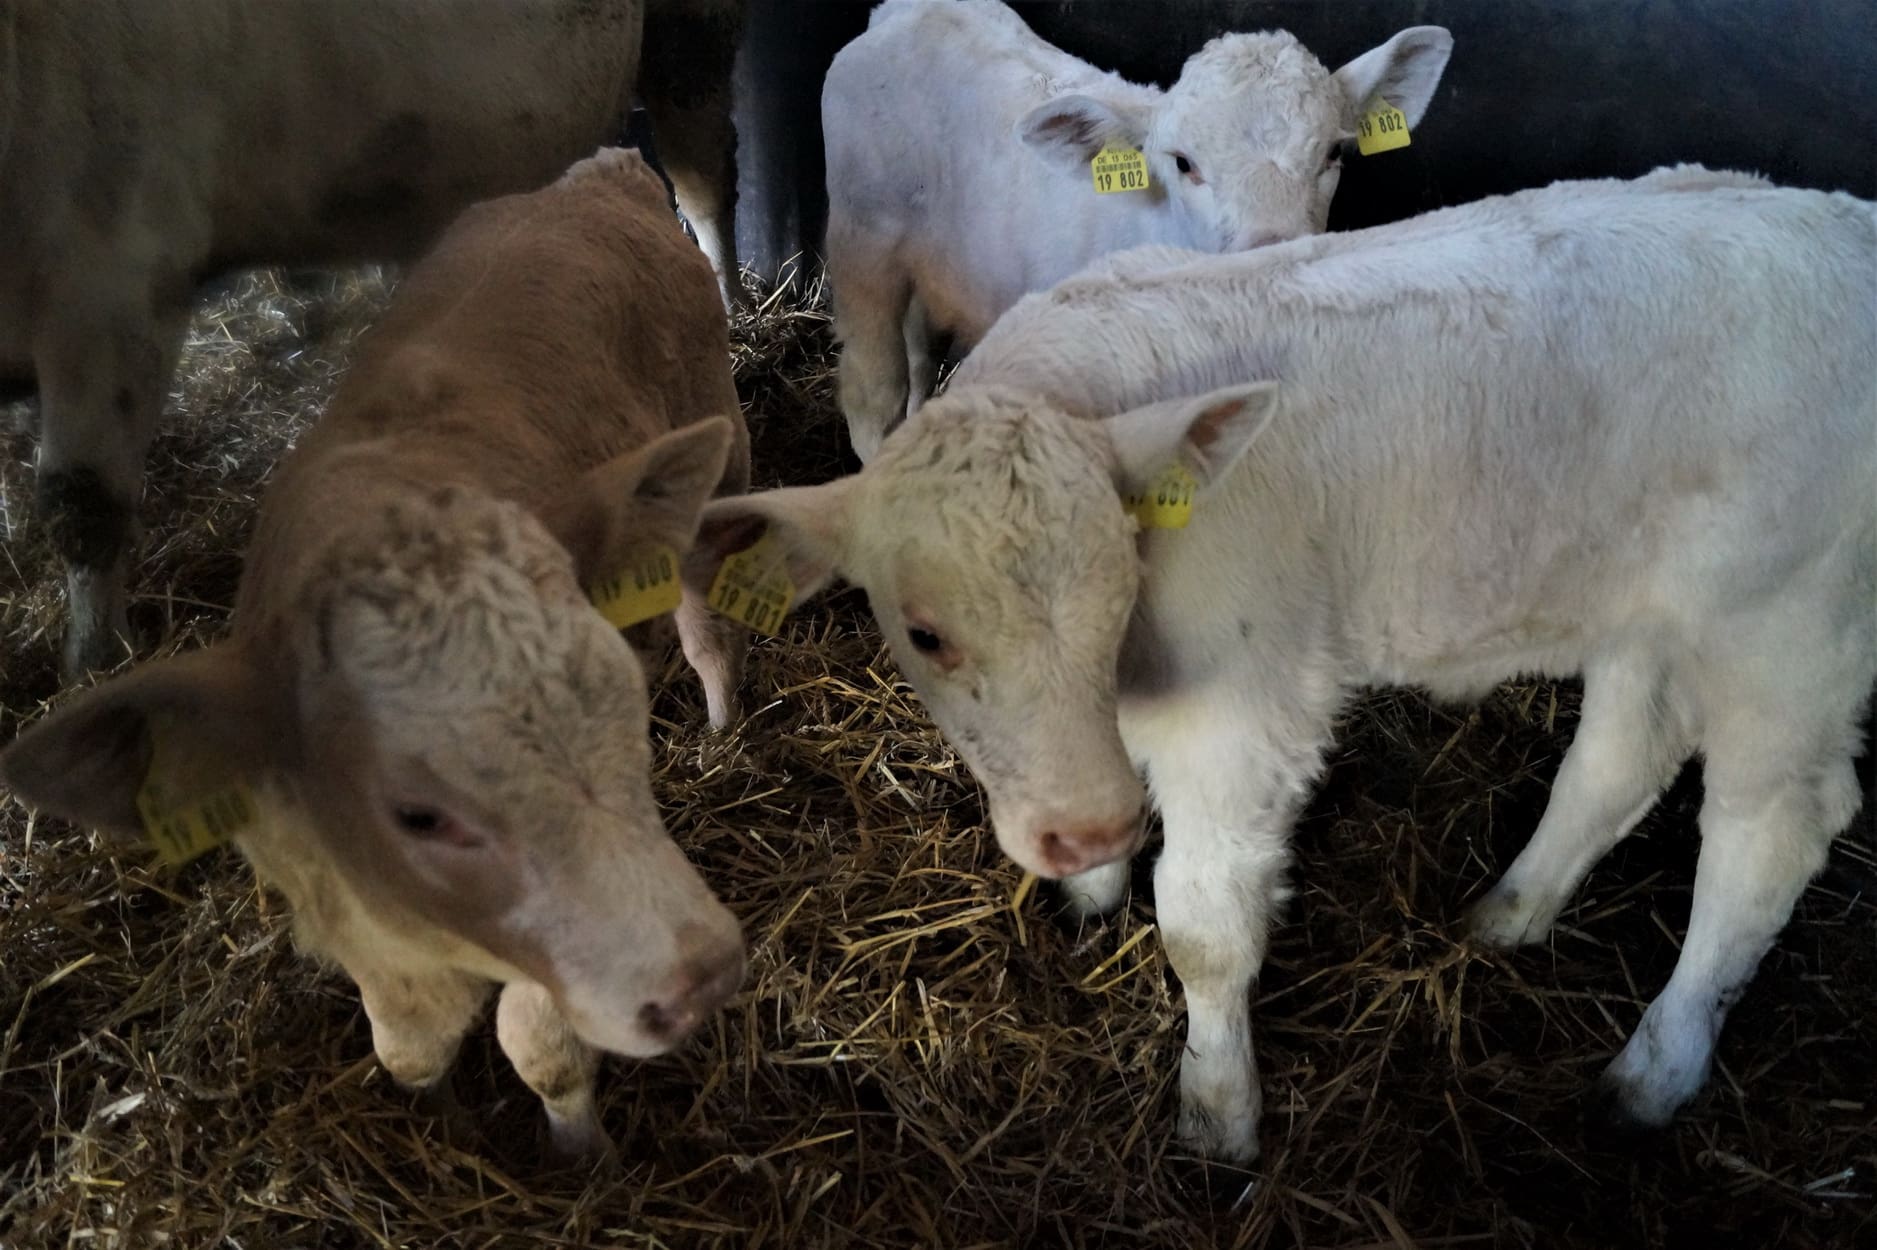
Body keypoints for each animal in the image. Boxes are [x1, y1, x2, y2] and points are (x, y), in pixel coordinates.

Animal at [0, 0, 747, 675]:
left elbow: (81, 506)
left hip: (691, 29)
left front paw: (94, 662)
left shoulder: (114, 278)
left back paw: (736, 300)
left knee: (704, 169)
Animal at [7, 148, 754, 1156]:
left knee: (703, 604)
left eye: (628, 713)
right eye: (418, 815)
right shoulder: (340, 912)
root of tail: (601, 170)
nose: (703, 973)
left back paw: (718, 712)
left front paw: (580, 1159)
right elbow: (409, 1045)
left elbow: (540, 1046)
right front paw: (440, 1124)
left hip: (721, 440)